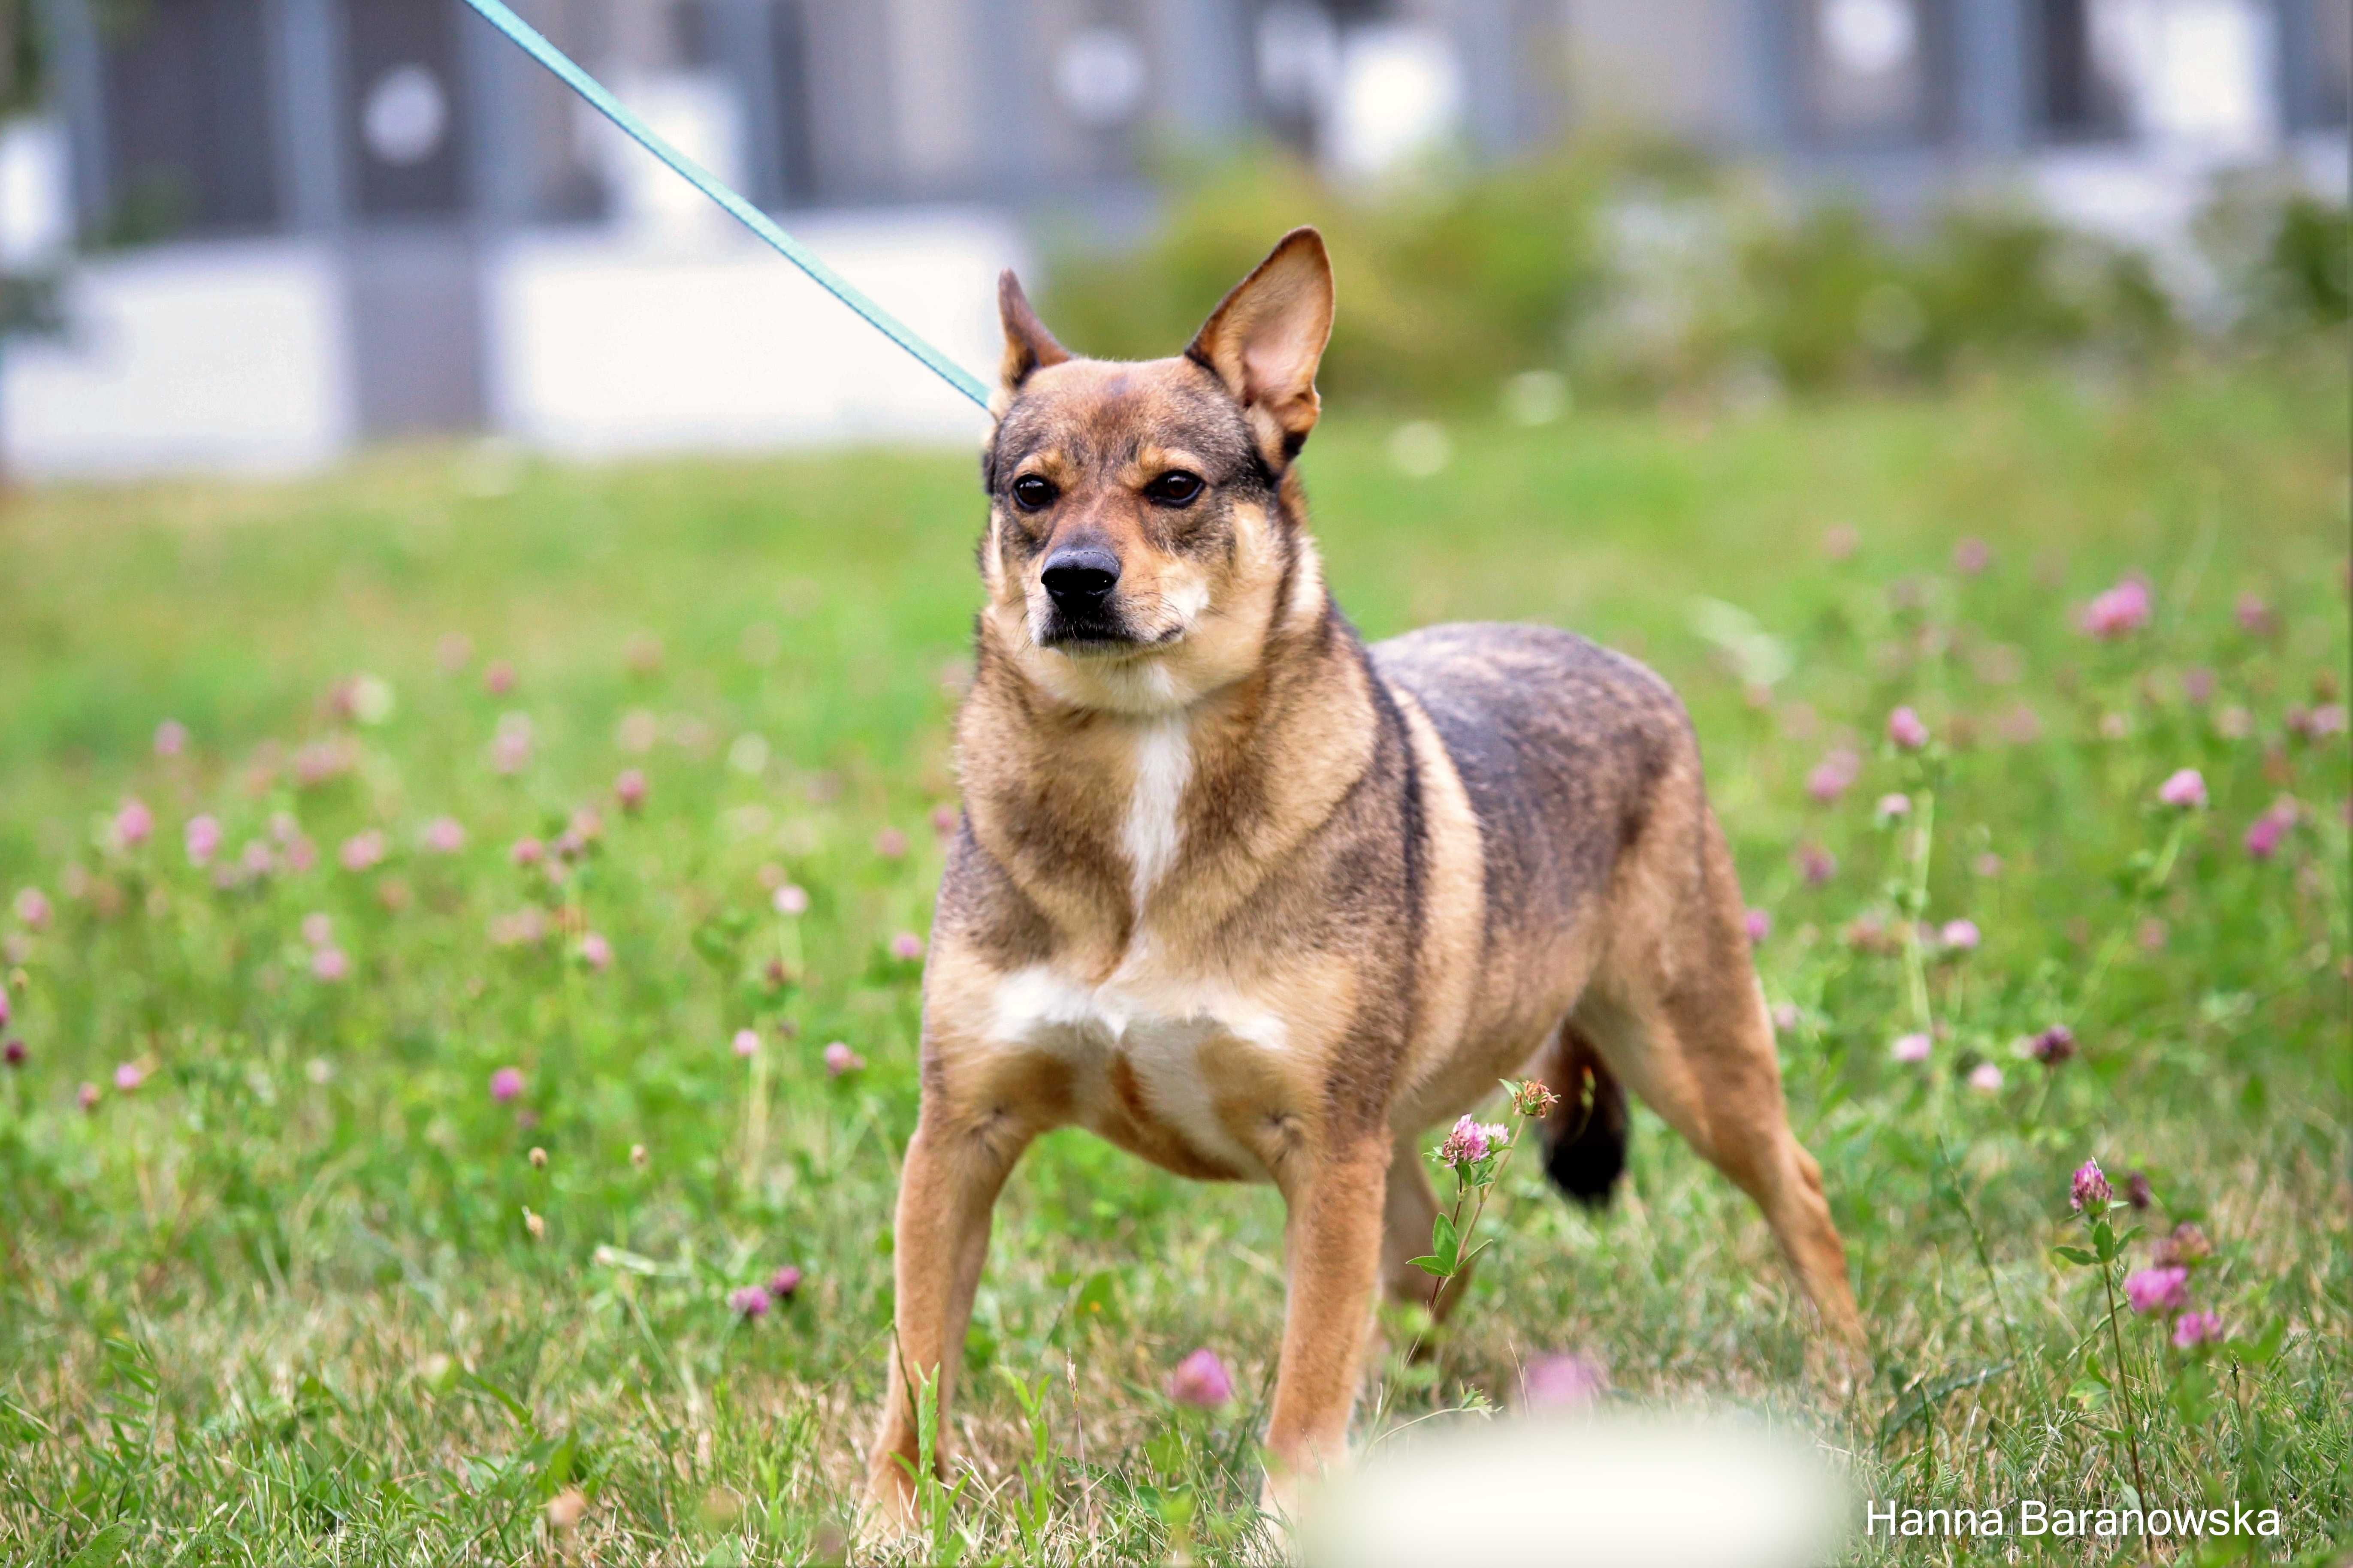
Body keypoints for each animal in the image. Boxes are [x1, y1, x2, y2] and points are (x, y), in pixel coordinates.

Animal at [861, 230, 1854, 1532]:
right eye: (1031, 492)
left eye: (1174, 488)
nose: (1072, 580)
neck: (1146, 760)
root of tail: (1619, 663)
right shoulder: (959, 1137)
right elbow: (915, 1373)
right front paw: (887, 1529)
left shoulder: (1323, 1149)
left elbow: (1304, 1385)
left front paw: (1291, 1528)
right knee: (1433, 1254)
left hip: (1688, 1055)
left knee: (1797, 1189)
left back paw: (1848, 1374)